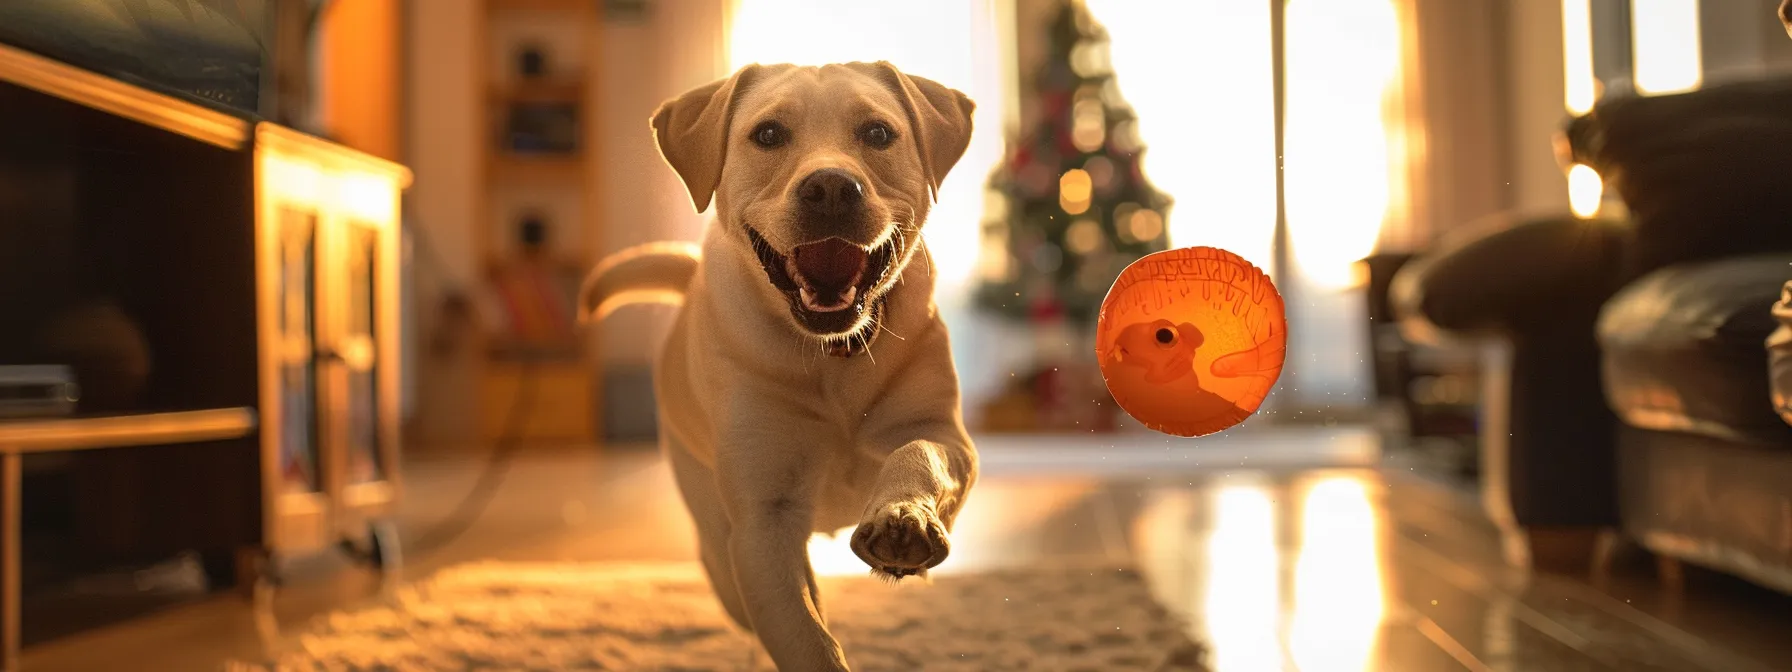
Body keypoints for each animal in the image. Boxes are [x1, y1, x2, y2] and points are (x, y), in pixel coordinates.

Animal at [580, 60, 982, 670]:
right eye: (768, 134)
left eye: (878, 133)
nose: (832, 187)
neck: (832, 355)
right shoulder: (762, 526)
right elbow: (807, 641)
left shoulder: (946, 436)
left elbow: (920, 454)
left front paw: (903, 517)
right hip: (717, 545)